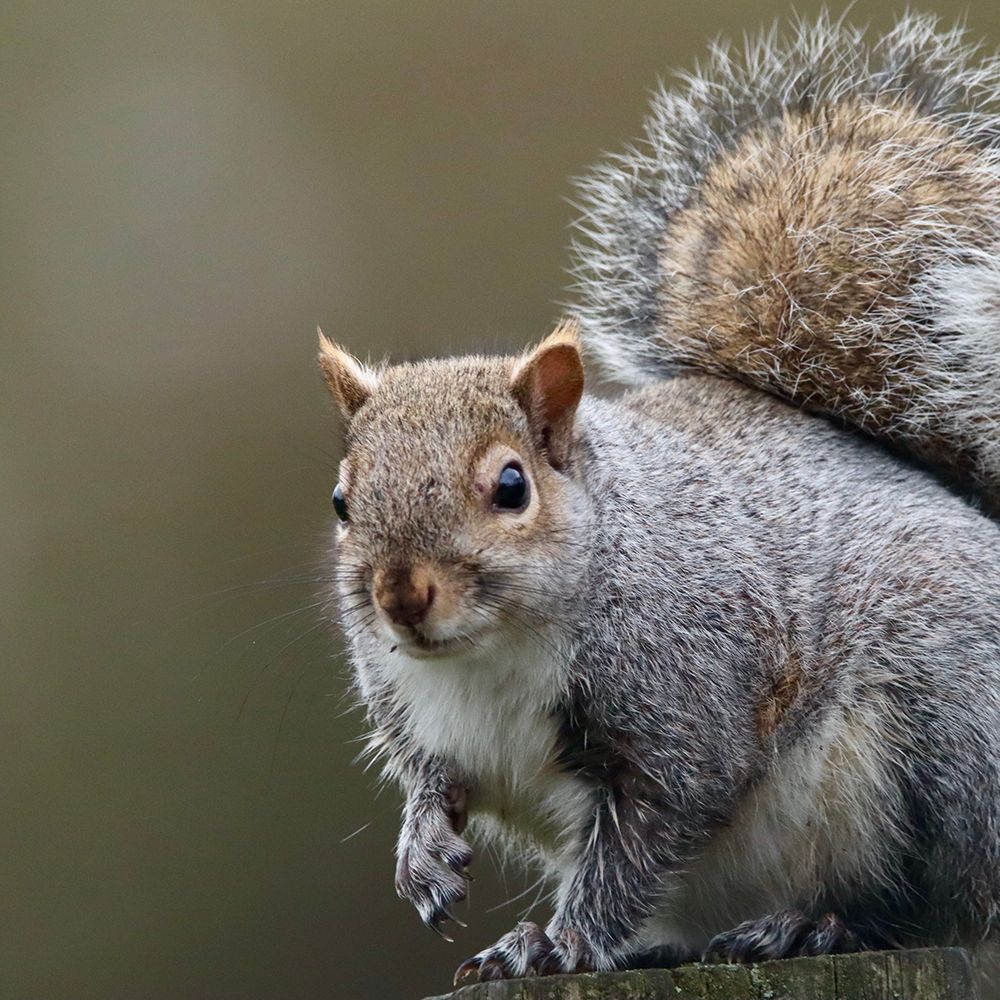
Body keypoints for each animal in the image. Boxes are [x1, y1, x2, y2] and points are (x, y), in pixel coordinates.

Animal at [318, 14, 1000, 985]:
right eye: (343, 501)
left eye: (511, 486)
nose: (401, 597)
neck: (486, 658)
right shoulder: (418, 713)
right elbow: (435, 783)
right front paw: (425, 856)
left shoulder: (686, 709)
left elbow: (637, 842)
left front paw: (556, 945)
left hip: (938, 736)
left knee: (934, 900)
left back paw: (812, 927)